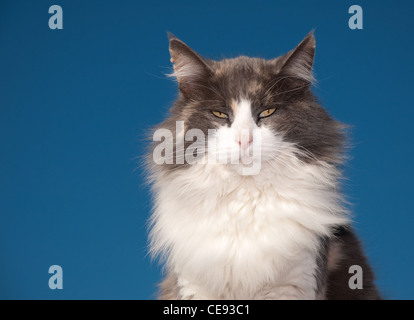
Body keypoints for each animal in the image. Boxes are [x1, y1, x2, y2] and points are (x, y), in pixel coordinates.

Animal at [146, 32, 382, 300]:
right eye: (219, 114)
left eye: (268, 112)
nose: (244, 139)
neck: (245, 199)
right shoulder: (192, 286)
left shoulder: (295, 282)